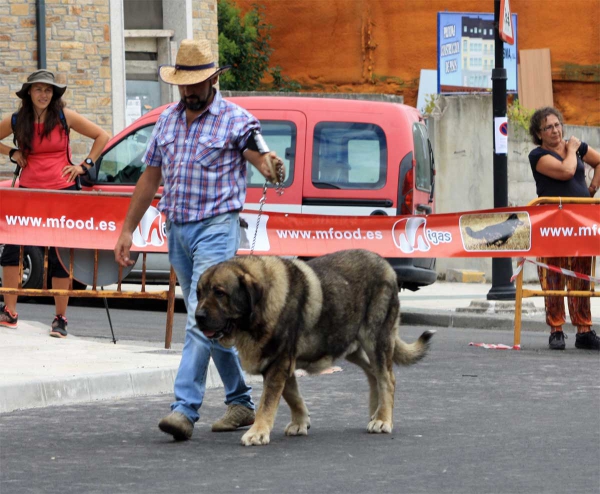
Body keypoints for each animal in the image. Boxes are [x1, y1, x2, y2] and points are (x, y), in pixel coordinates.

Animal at [195, 249, 434, 446]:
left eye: (219, 293)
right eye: (199, 293)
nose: (198, 316)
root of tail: (386, 265)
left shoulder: (279, 363)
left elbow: (267, 402)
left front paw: (258, 432)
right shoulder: (281, 363)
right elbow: (292, 395)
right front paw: (300, 422)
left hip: (375, 339)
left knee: (387, 379)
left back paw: (383, 419)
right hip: (347, 344)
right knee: (372, 373)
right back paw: (376, 412)